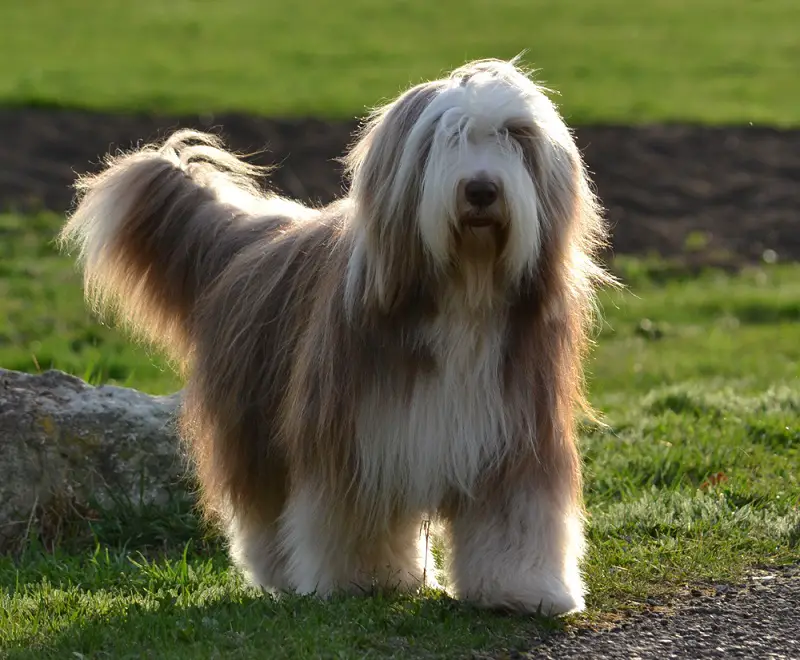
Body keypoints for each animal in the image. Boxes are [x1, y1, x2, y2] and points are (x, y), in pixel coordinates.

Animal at [61, 59, 612, 616]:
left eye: (515, 139)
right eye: (446, 138)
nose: (481, 190)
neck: (463, 293)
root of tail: (248, 235)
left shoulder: (515, 436)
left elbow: (515, 519)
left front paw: (523, 590)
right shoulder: (358, 435)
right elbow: (355, 517)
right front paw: (365, 580)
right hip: (255, 420)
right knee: (265, 507)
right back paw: (280, 572)